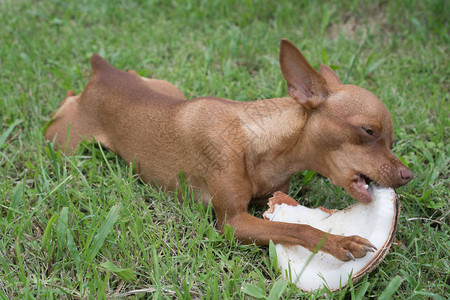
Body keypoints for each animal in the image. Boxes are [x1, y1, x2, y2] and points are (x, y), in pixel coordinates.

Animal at [44, 39, 412, 260]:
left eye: (392, 141)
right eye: (368, 131)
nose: (408, 175)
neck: (259, 142)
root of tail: (103, 71)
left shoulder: (271, 200)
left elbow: (295, 217)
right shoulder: (233, 222)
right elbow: (298, 227)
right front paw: (339, 242)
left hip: (169, 88)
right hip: (63, 142)